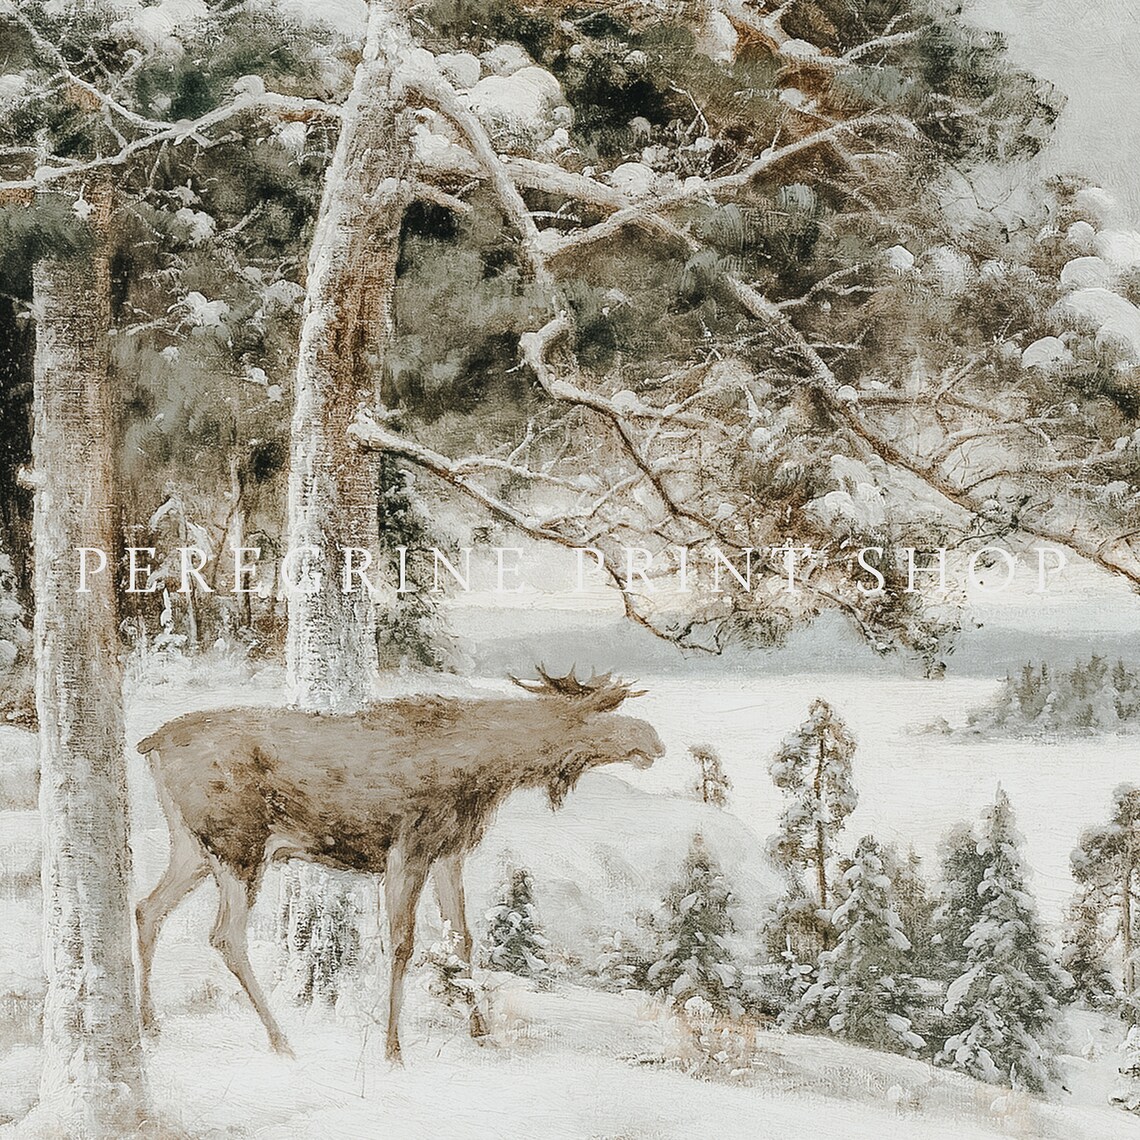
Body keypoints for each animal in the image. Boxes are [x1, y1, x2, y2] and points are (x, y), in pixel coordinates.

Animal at [134, 670, 664, 1062]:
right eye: (603, 711)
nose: (655, 740)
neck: (487, 771)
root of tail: (149, 743)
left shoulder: (449, 852)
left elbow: (462, 938)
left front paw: (481, 1031)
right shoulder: (407, 849)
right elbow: (403, 943)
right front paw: (393, 1048)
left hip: (194, 848)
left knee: (147, 909)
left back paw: (150, 1025)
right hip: (238, 845)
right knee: (224, 934)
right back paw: (281, 1041)